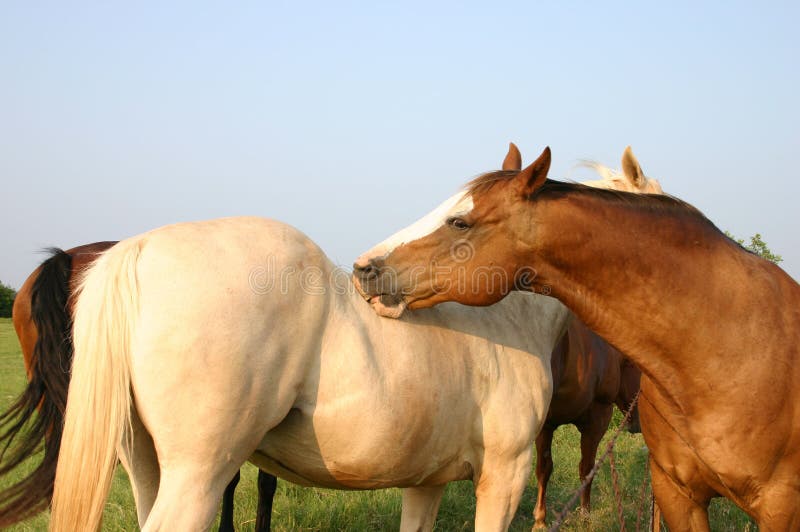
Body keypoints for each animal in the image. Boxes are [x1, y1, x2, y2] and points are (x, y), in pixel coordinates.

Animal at [45, 216, 568, 532]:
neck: (512, 318)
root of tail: (140, 247)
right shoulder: (505, 472)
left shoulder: (427, 481)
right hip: (196, 477)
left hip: (146, 466)